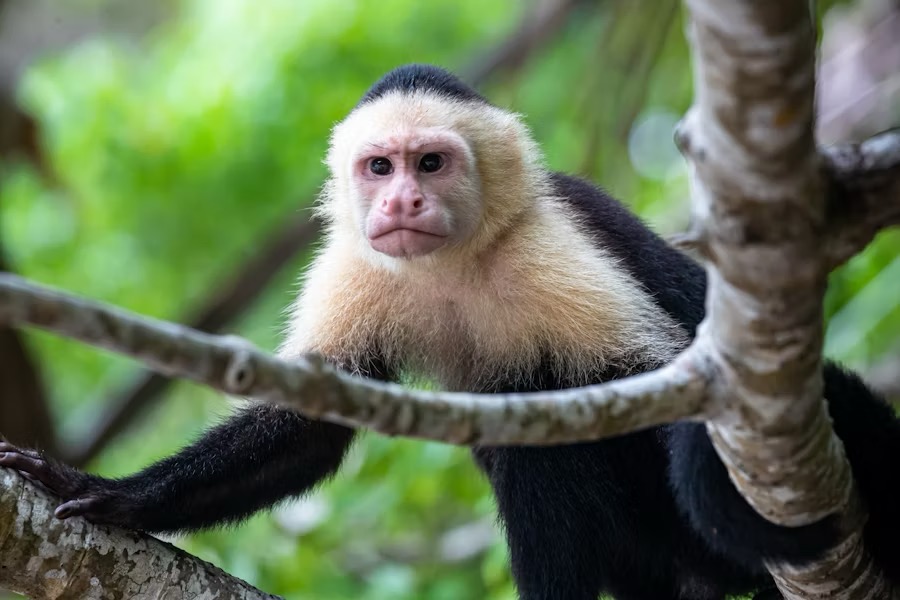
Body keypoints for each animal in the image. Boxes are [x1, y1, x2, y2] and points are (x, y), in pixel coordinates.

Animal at [2, 64, 899, 600]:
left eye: (430, 163)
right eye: (380, 168)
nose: (402, 201)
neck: (454, 265)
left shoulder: (551, 247)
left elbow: (663, 381)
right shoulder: (355, 263)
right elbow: (307, 428)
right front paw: (108, 494)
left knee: (541, 410)